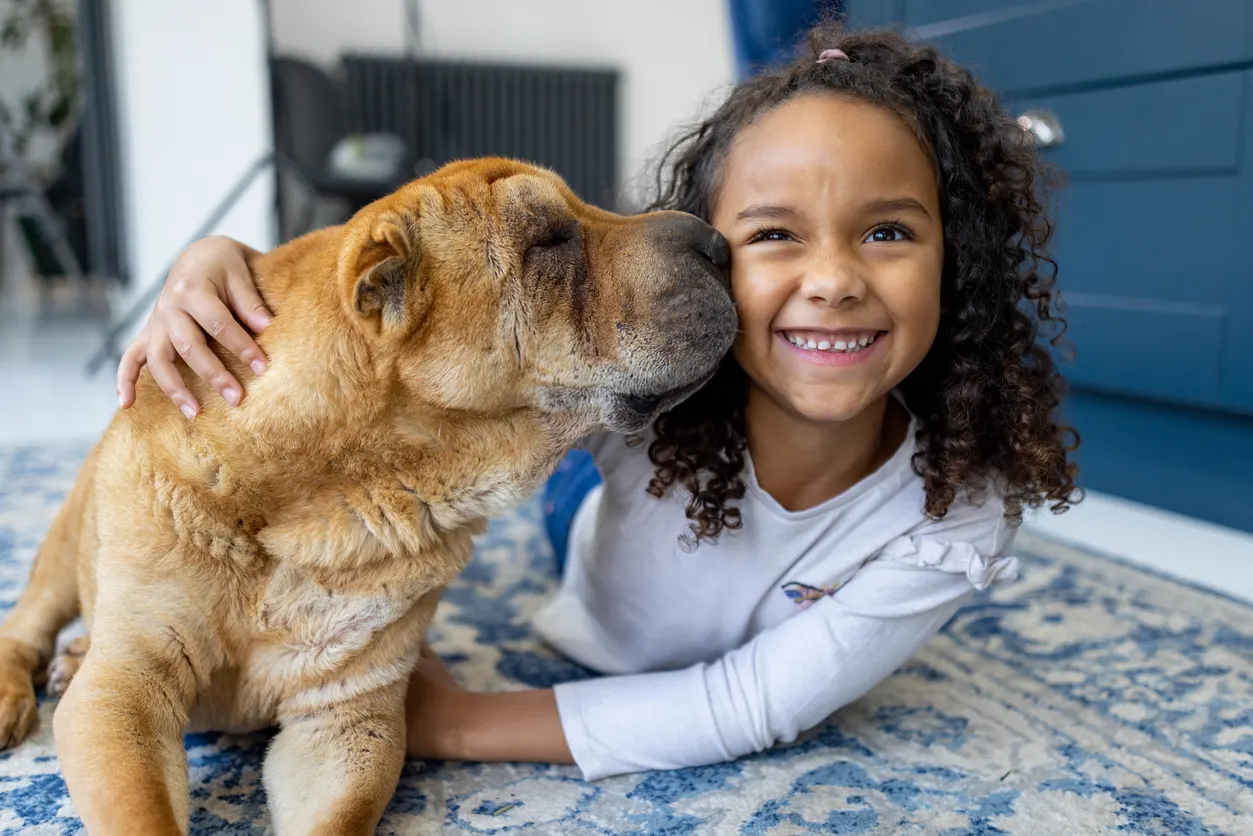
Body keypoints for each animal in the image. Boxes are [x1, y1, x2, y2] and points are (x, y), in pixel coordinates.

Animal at [0, 160, 736, 832]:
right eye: (549, 239)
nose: (717, 243)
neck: (338, 495)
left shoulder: (350, 719)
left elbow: (339, 817)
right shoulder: (122, 697)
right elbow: (141, 810)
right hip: (66, 539)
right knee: (27, 624)